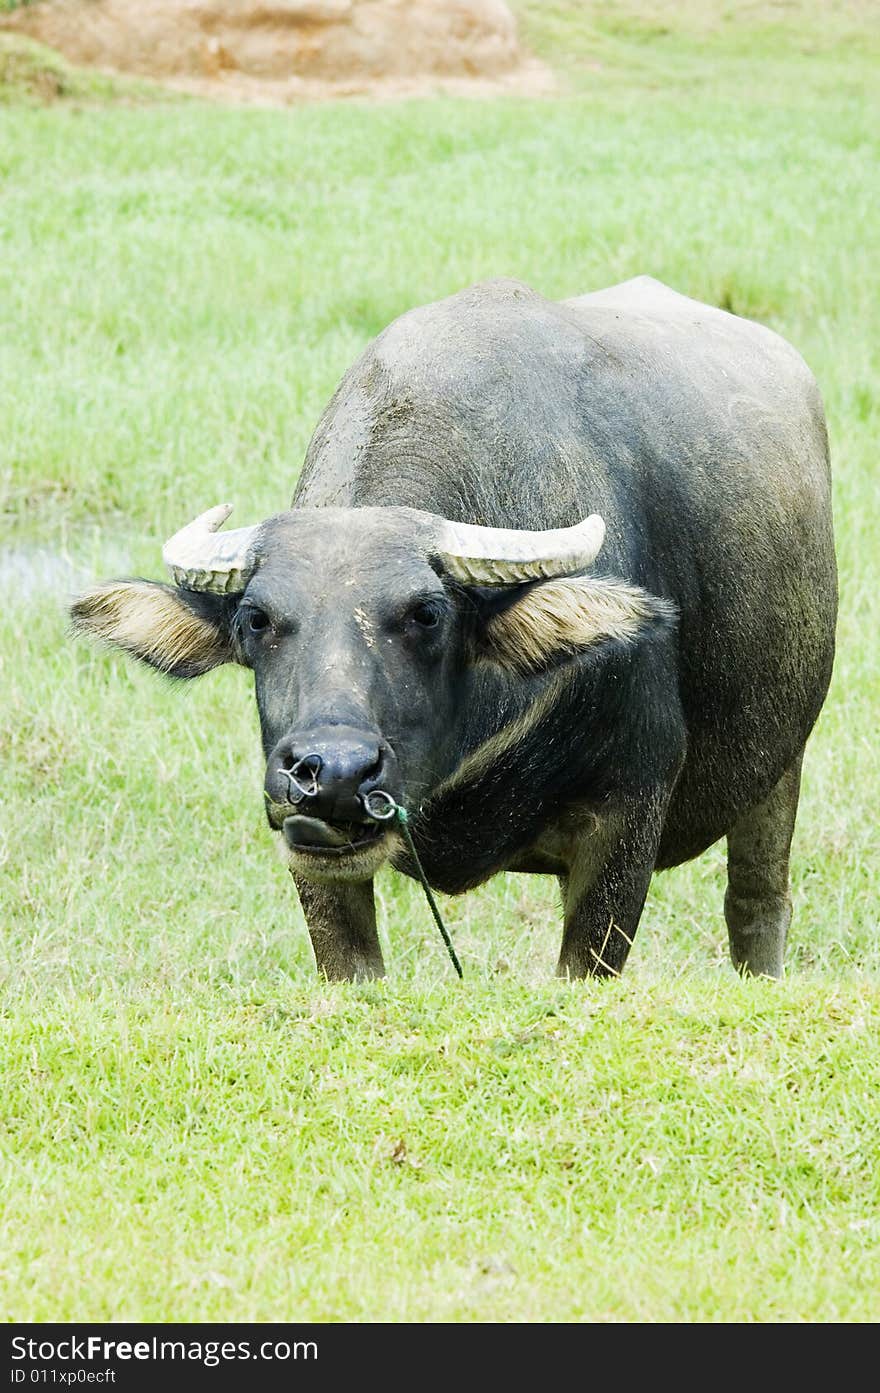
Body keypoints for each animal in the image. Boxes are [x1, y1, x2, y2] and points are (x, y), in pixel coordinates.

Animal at [72, 274, 835, 980]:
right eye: (258, 619)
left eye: (427, 613)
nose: (334, 774)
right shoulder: (305, 843)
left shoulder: (627, 810)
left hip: (782, 763)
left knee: (756, 902)